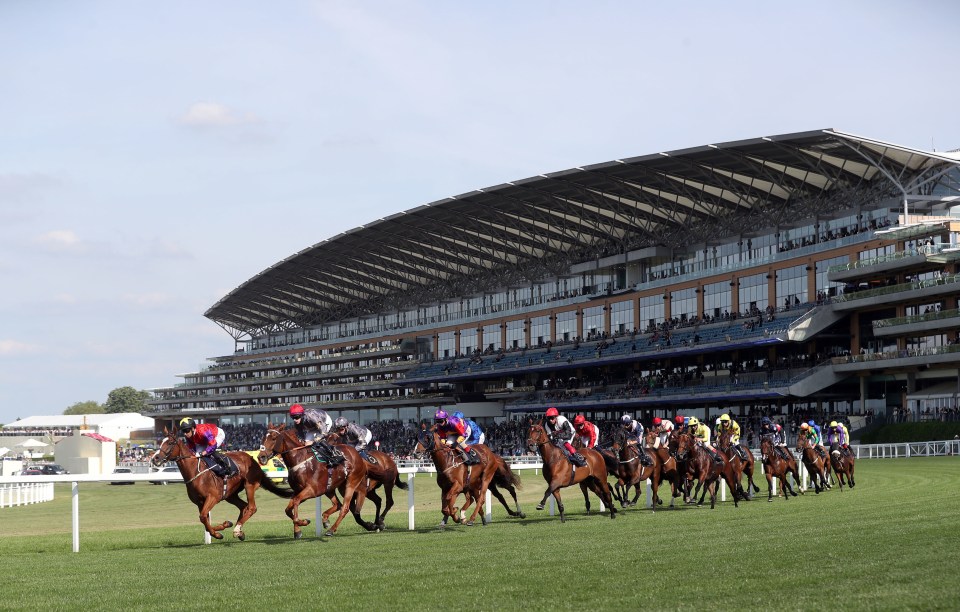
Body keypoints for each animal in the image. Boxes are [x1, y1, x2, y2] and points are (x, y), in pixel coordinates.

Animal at [152, 426, 294, 540]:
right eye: (161, 442)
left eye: (170, 442)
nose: (155, 458)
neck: (196, 472)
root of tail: (253, 460)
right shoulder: (200, 502)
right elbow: (204, 520)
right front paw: (223, 526)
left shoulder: (213, 497)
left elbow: (203, 517)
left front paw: (218, 534)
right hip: (230, 494)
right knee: (243, 507)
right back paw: (239, 530)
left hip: (249, 485)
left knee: (251, 507)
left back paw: (237, 530)